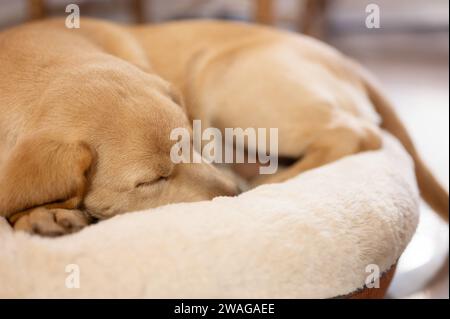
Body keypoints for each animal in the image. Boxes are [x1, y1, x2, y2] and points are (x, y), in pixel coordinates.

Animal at [0, 18, 446, 236]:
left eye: (193, 142)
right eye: (151, 180)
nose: (232, 195)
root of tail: (345, 59)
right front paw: (40, 214)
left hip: (224, 82)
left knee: (355, 133)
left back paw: (268, 182)